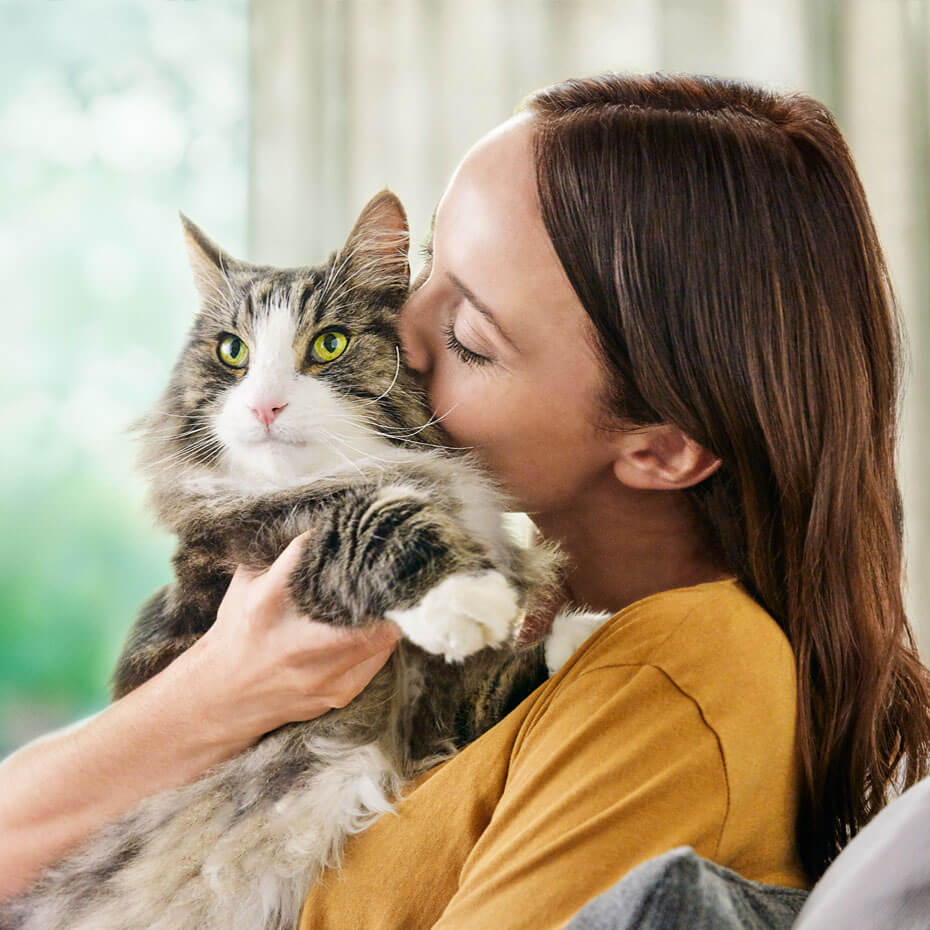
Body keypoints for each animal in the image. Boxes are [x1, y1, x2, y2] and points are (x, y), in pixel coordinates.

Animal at [0, 190, 608, 928]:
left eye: (329, 344)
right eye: (232, 351)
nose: (266, 406)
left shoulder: (422, 709)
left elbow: (486, 688)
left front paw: (586, 629)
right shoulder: (253, 551)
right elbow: (372, 528)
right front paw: (465, 599)